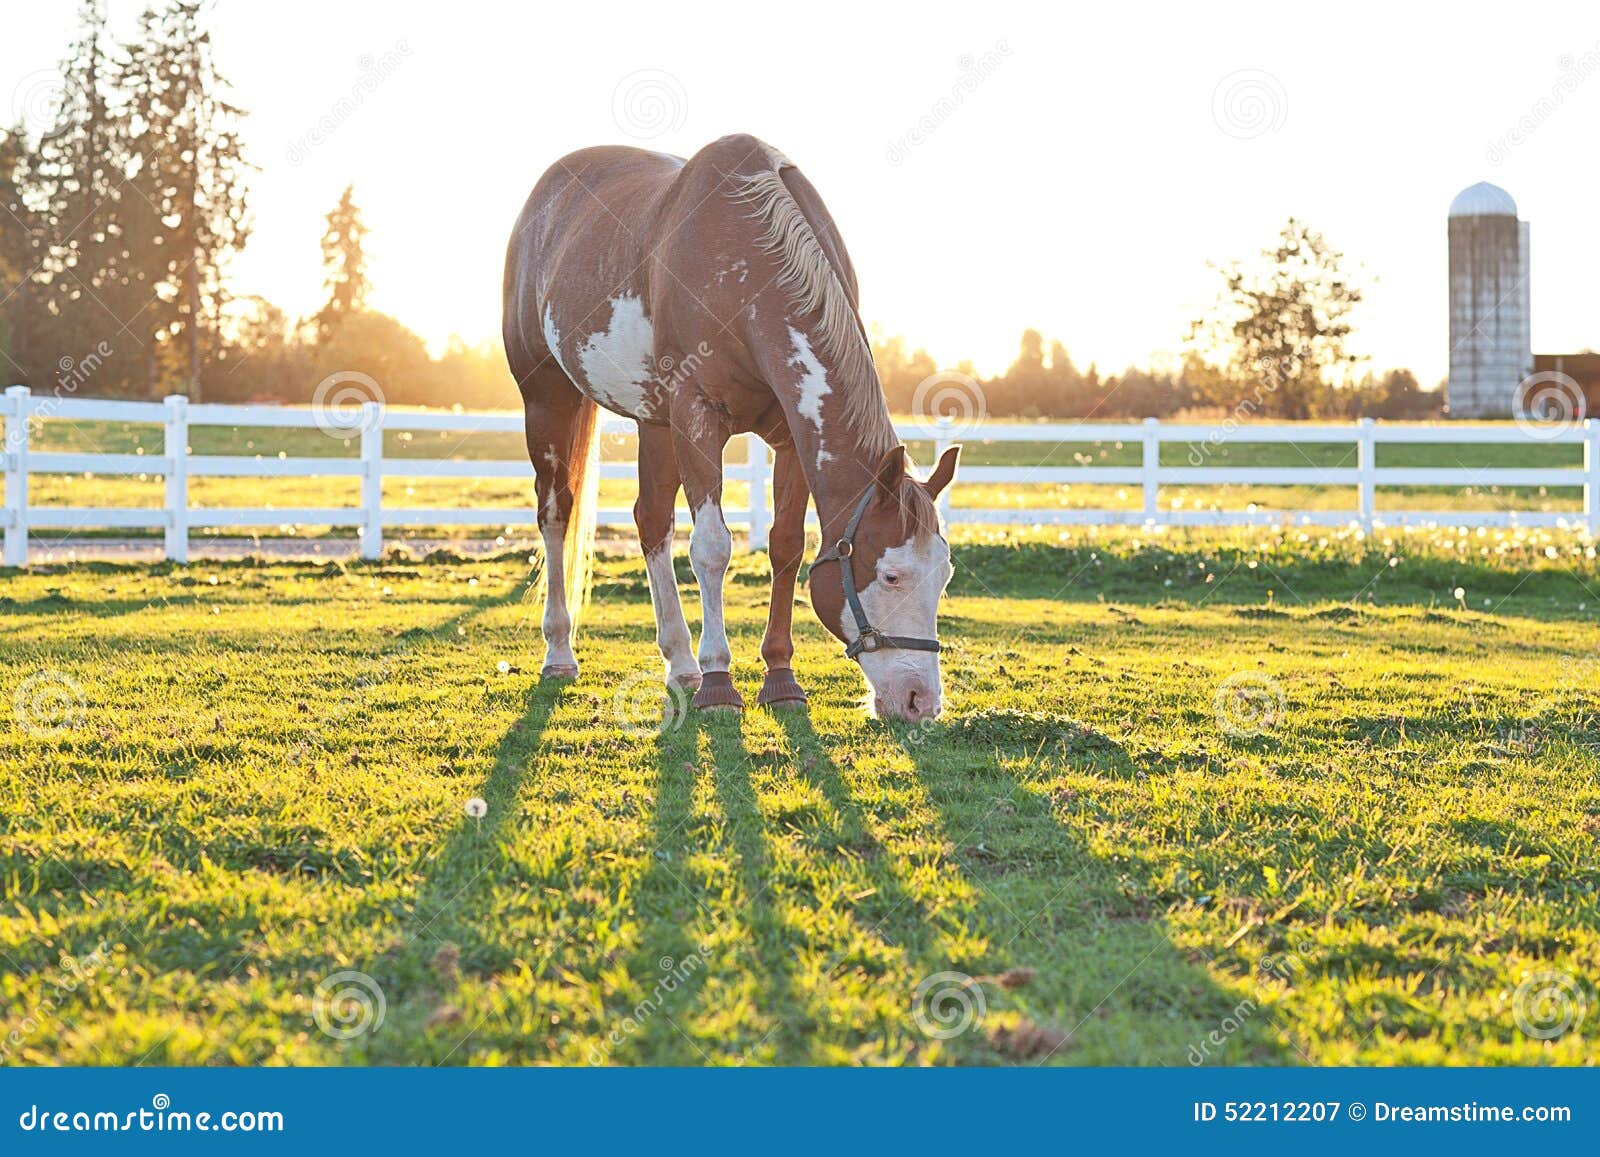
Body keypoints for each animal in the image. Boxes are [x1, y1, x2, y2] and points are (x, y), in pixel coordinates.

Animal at [501, 134, 959, 722]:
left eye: (944, 573)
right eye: (891, 575)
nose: (920, 700)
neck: (746, 263)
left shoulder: (790, 437)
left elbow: (785, 546)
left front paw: (780, 677)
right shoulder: (697, 419)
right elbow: (712, 547)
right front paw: (719, 680)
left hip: (655, 423)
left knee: (651, 522)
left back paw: (679, 663)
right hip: (548, 402)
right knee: (556, 513)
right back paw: (561, 652)